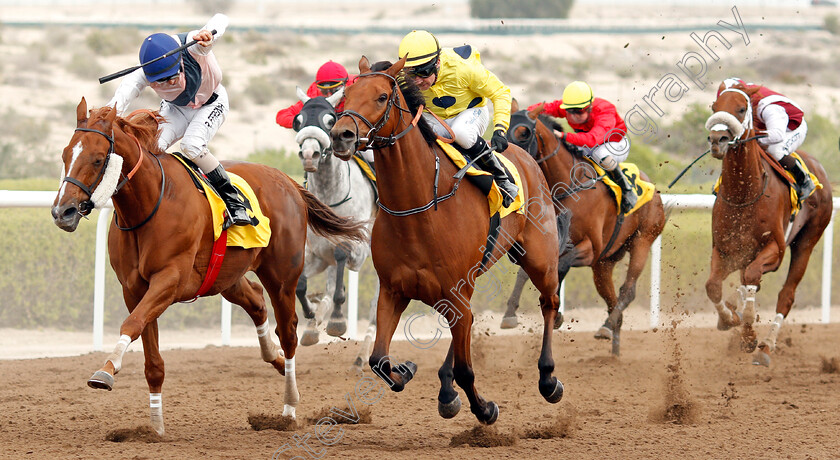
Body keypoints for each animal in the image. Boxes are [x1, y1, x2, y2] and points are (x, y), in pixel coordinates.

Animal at [51, 98, 368, 434]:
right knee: (256, 301)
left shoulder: (170, 280)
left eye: (98, 159)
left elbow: (131, 324)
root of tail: (289, 182)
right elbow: (151, 358)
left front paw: (105, 371)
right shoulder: (134, 289)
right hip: (225, 277)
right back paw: (275, 358)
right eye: (65, 155)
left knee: (289, 332)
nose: (62, 211)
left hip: (282, 276)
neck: (149, 205)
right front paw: (156, 427)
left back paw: (289, 408)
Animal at [292, 87, 378, 370]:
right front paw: (311, 314)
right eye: (298, 120)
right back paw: (313, 324)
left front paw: (337, 321)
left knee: (375, 306)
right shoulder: (315, 255)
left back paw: (362, 355)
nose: (310, 155)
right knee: (330, 288)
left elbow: (341, 279)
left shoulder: (357, 251)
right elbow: (301, 285)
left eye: (330, 120)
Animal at [328, 57, 564, 424]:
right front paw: (406, 370)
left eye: (382, 97)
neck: (417, 210)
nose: (341, 135)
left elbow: (468, 371)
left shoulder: (454, 290)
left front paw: (485, 409)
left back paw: (548, 378)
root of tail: (525, 156)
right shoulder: (394, 290)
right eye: (344, 97)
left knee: (549, 302)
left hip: (539, 258)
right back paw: (445, 389)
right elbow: (379, 360)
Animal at [502, 104, 668, 356]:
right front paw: (510, 314)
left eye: (524, 133)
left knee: (627, 291)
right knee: (611, 300)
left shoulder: (591, 247)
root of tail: (654, 190)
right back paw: (613, 347)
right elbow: (527, 272)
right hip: (603, 264)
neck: (567, 186)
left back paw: (606, 327)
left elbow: (561, 265)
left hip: (643, 240)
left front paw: (556, 314)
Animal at [704, 83, 832, 366]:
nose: (718, 141)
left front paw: (749, 335)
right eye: (714, 107)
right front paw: (727, 318)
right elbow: (713, 286)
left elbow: (753, 277)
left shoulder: (775, 249)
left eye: (741, 109)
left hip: (807, 242)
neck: (744, 193)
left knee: (786, 294)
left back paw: (767, 347)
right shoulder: (725, 249)